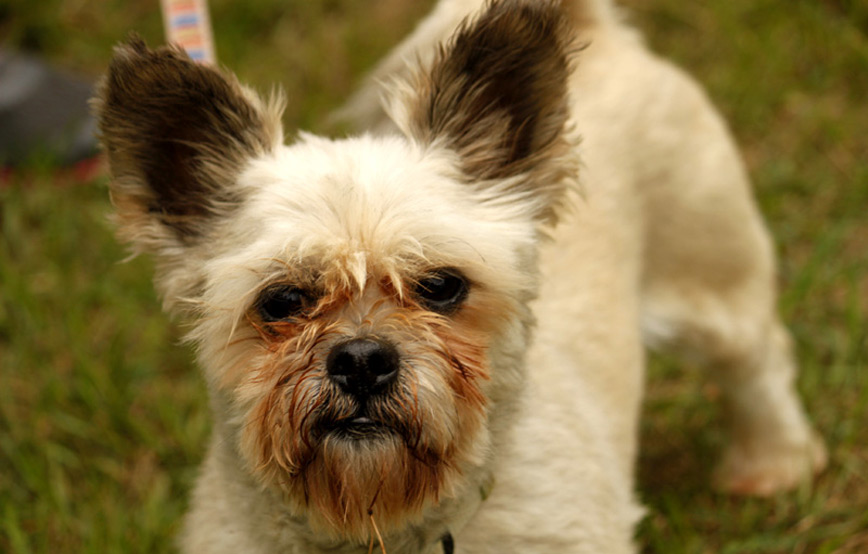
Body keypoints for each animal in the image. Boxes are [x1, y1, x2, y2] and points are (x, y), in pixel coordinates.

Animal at [95, 0, 828, 548]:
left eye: (442, 286)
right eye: (281, 301)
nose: (362, 360)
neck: (382, 525)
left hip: (714, 285)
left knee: (760, 366)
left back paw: (774, 463)